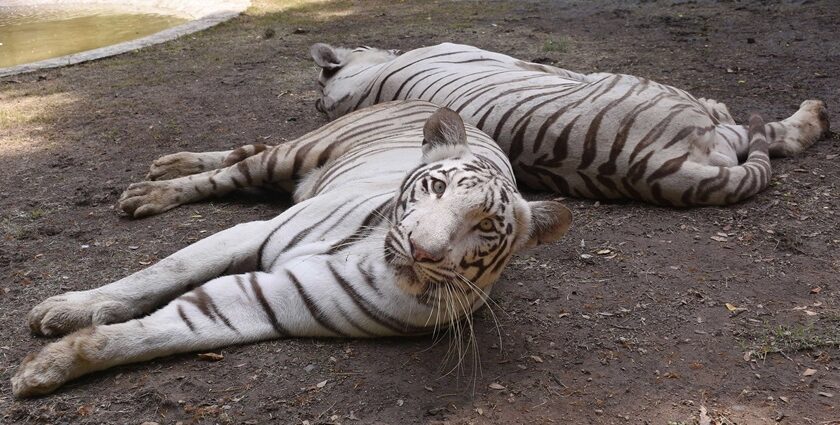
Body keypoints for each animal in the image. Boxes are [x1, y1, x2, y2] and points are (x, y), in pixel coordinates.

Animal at [11, 101, 572, 396]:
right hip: (293, 153)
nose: (422, 251)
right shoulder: (252, 232)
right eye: (437, 188)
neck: (368, 250)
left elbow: (158, 332)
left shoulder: (267, 300)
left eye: (484, 227)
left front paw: (47, 366)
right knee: (231, 169)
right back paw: (157, 183)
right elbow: (161, 271)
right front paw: (67, 307)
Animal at [306, 41, 828, 205]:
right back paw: (815, 112)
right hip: (667, 100)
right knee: (772, 134)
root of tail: (653, 169)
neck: (360, 90)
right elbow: (552, 69)